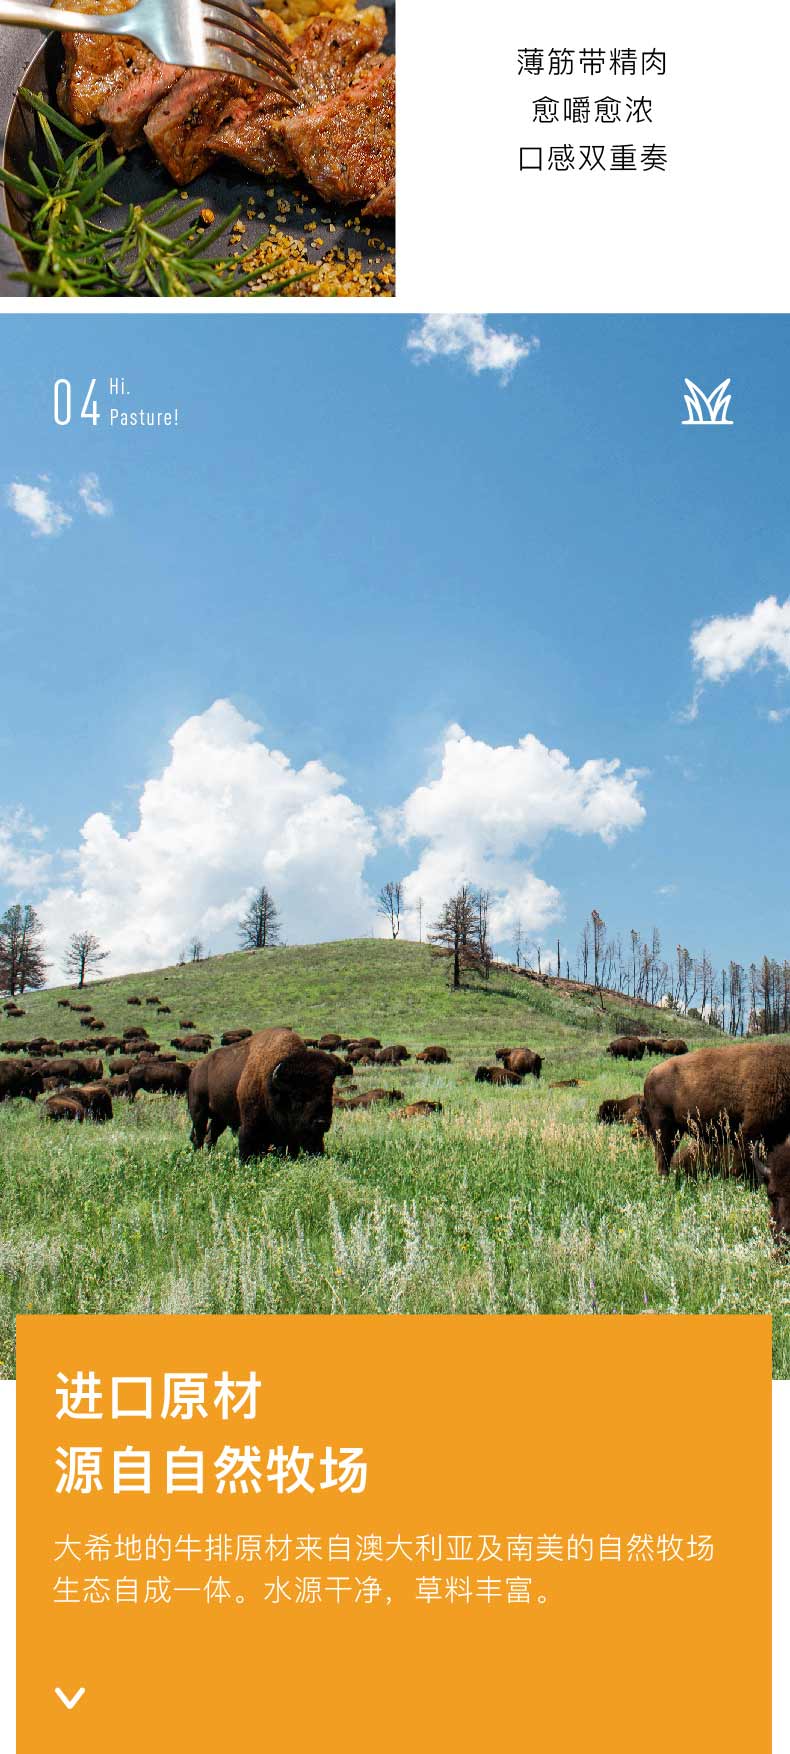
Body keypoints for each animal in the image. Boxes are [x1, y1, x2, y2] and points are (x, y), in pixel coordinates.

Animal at [191, 1024, 338, 1164]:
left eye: (329, 1093)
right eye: (298, 1096)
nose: (321, 1122)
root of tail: (196, 1069)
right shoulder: (250, 1123)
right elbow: (247, 1143)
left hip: (220, 1117)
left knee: (211, 1135)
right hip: (199, 1111)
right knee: (199, 1135)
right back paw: (199, 1155)